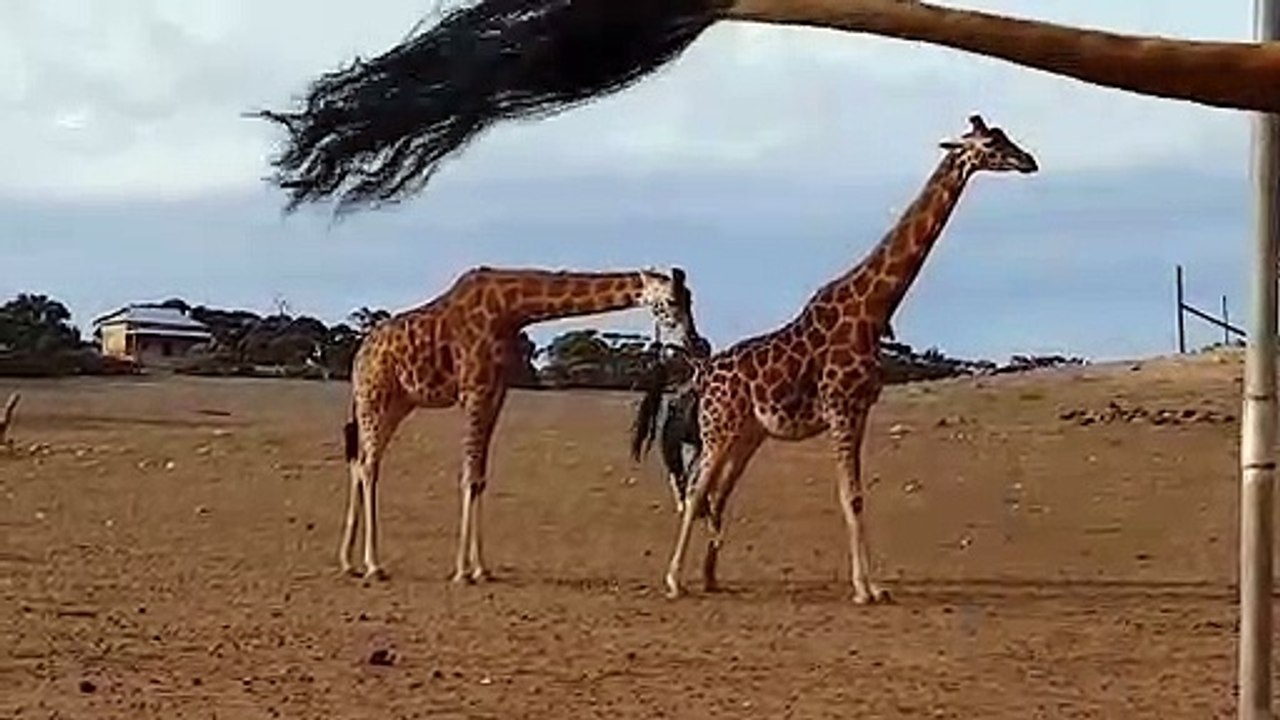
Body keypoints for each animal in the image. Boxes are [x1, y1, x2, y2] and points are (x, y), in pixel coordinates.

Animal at [340, 265, 702, 582]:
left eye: (690, 299)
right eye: (671, 302)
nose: (696, 343)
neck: (511, 309)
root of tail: (359, 355)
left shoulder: (496, 393)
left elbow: (480, 478)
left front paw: (480, 569)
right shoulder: (475, 390)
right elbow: (469, 477)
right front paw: (461, 571)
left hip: (397, 404)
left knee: (360, 461)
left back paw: (348, 562)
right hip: (375, 397)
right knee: (368, 466)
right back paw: (373, 565)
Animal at [661, 114, 1037, 602]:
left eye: (1006, 135)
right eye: (991, 144)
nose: (1029, 161)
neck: (872, 310)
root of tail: (703, 374)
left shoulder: (860, 410)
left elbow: (857, 496)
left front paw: (873, 585)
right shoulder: (842, 409)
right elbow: (851, 497)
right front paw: (866, 589)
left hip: (746, 434)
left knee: (717, 495)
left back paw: (710, 578)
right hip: (719, 429)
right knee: (695, 491)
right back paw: (674, 581)